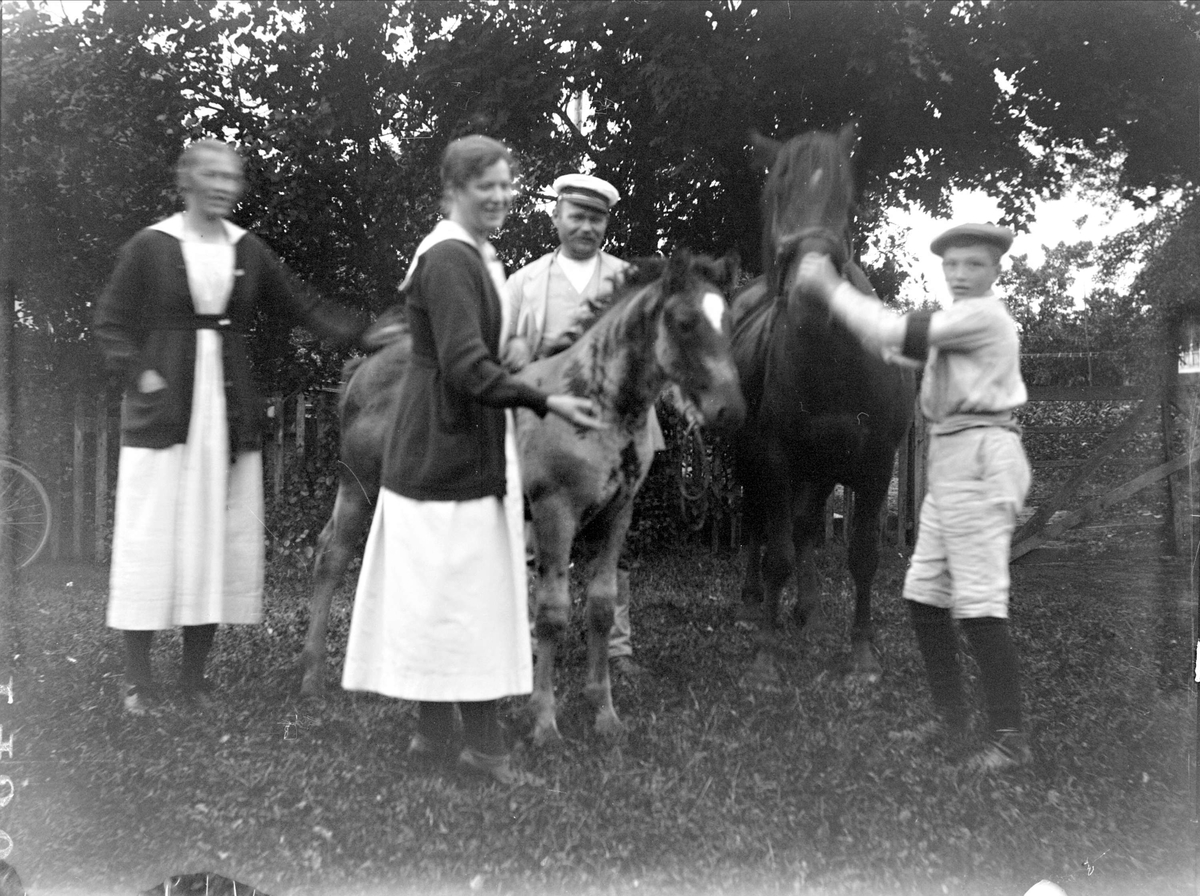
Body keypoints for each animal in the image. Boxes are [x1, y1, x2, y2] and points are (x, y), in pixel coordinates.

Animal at [297, 250, 748, 743]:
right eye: (684, 322)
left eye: (729, 321)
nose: (730, 410)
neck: (594, 403)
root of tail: (365, 365)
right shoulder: (556, 511)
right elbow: (552, 612)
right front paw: (544, 721)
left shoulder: (618, 514)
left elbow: (602, 607)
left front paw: (605, 713)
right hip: (357, 485)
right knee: (332, 555)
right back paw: (312, 676)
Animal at [729, 125, 916, 686]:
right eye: (772, 196)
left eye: (850, 204)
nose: (813, 296)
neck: (831, 362)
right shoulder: (773, 459)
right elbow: (776, 555)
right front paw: (765, 656)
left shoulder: (873, 466)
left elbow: (861, 555)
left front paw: (862, 652)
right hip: (751, 461)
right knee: (757, 522)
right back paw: (752, 604)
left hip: (821, 469)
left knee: (807, 529)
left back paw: (807, 611)